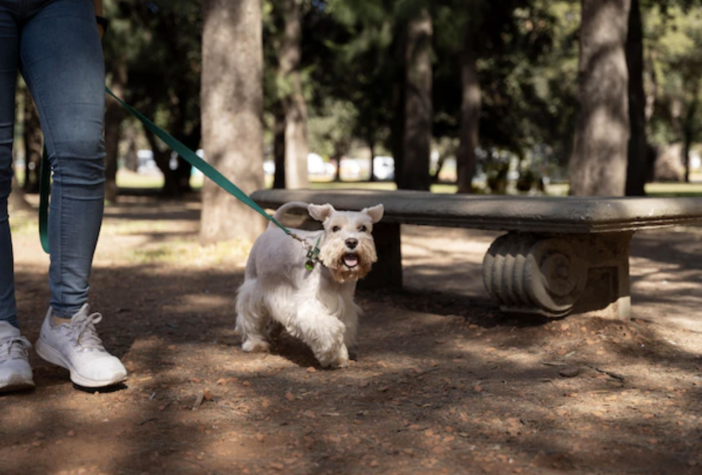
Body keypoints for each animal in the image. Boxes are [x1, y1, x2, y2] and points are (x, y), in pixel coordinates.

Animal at [236, 201, 384, 368]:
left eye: (363, 228)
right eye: (335, 228)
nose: (351, 242)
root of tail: (271, 229)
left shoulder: (345, 305)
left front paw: (339, 357)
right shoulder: (308, 305)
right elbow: (330, 328)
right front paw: (330, 354)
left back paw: (273, 330)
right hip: (253, 285)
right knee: (249, 316)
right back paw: (254, 343)